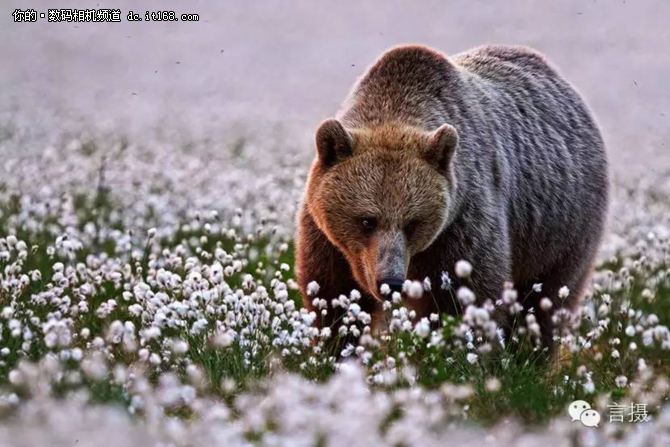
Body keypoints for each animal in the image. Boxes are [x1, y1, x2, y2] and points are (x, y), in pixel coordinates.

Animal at [296, 43, 612, 348]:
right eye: (366, 220)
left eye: (413, 223)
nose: (391, 282)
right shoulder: (329, 240)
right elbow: (332, 295)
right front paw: (334, 348)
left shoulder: (462, 224)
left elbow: (464, 298)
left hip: (562, 229)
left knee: (546, 301)